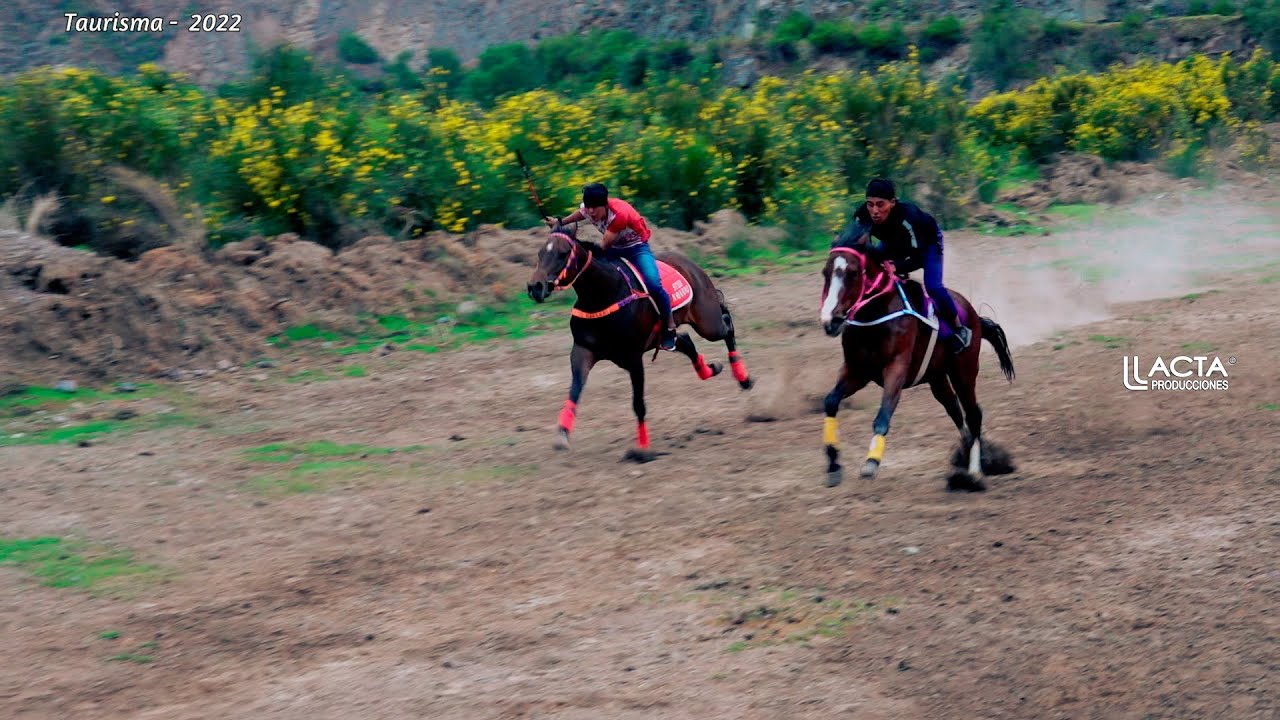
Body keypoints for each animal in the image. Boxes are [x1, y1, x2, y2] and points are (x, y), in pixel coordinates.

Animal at [527, 224, 754, 462]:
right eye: (540, 253)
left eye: (562, 254)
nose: (535, 287)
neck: (605, 293)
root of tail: (690, 263)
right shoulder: (582, 351)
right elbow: (575, 391)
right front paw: (562, 434)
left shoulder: (633, 358)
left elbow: (638, 404)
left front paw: (643, 448)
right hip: (670, 335)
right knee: (685, 340)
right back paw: (709, 369)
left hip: (707, 322)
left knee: (727, 324)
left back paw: (743, 378)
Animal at [817, 241, 1016, 491]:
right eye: (825, 273)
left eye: (853, 274)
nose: (830, 321)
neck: (875, 315)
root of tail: (973, 315)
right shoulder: (857, 371)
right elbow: (831, 401)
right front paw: (833, 465)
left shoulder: (896, 369)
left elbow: (883, 415)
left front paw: (871, 462)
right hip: (937, 377)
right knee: (954, 409)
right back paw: (967, 456)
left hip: (964, 372)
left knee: (973, 415)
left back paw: (974, 473)